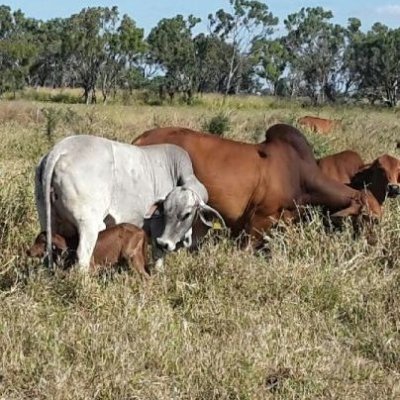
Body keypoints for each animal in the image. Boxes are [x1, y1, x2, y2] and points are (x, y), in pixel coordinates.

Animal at [35, 135, 223, 272]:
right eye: (166, 211)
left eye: (187, 214)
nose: (166, 242)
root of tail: (60, 150)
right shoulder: (157, 230)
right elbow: (159, 257)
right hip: (88, 225)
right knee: (83, 256)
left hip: (47, 219)